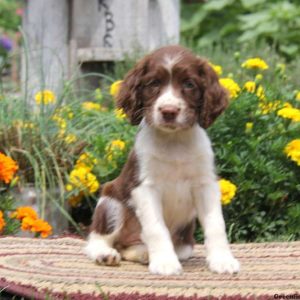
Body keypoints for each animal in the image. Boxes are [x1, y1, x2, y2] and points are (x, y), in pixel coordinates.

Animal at [84, 43, 239, 276]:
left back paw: (143, 253)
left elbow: (215, 224)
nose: (168, 111)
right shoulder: (144, 187)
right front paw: (165, 263)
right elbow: (157, 227)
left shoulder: (206, 184)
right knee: (98, 238)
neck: (174, 141)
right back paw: (106, 254)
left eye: (189, 84)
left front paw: (223, 260)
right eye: (153, 83)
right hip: (111, 202)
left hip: (184, 241)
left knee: (131, 246)